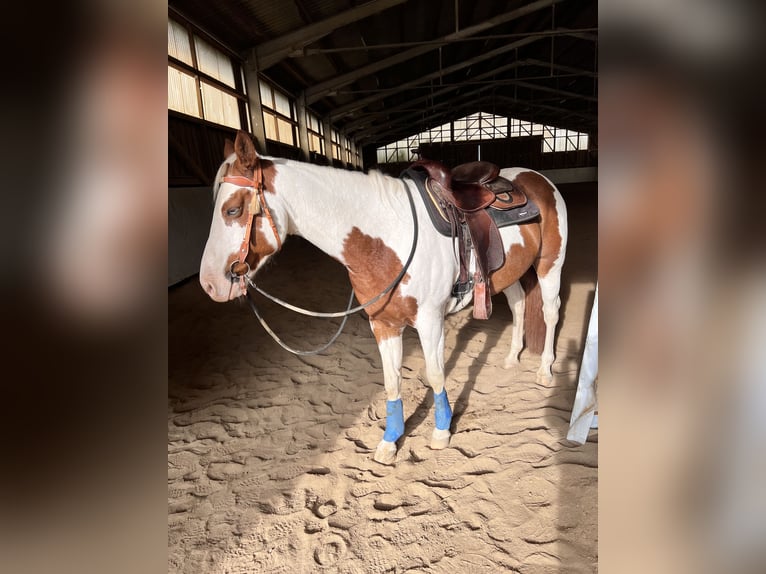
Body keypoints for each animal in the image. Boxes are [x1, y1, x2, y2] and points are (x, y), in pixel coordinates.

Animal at [199, 130, 567, 464]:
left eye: (233, 210)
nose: (209, 283)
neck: (388, 237)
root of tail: (535, 177)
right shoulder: (383, 324)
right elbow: (392, 383)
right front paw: (390, 442)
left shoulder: (430, 321)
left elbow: (436, 375)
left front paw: (441, 432)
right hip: (509, 274)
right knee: (519, 305)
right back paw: (512, 358)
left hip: (549, 265)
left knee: (550, 312)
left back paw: (545, 371)